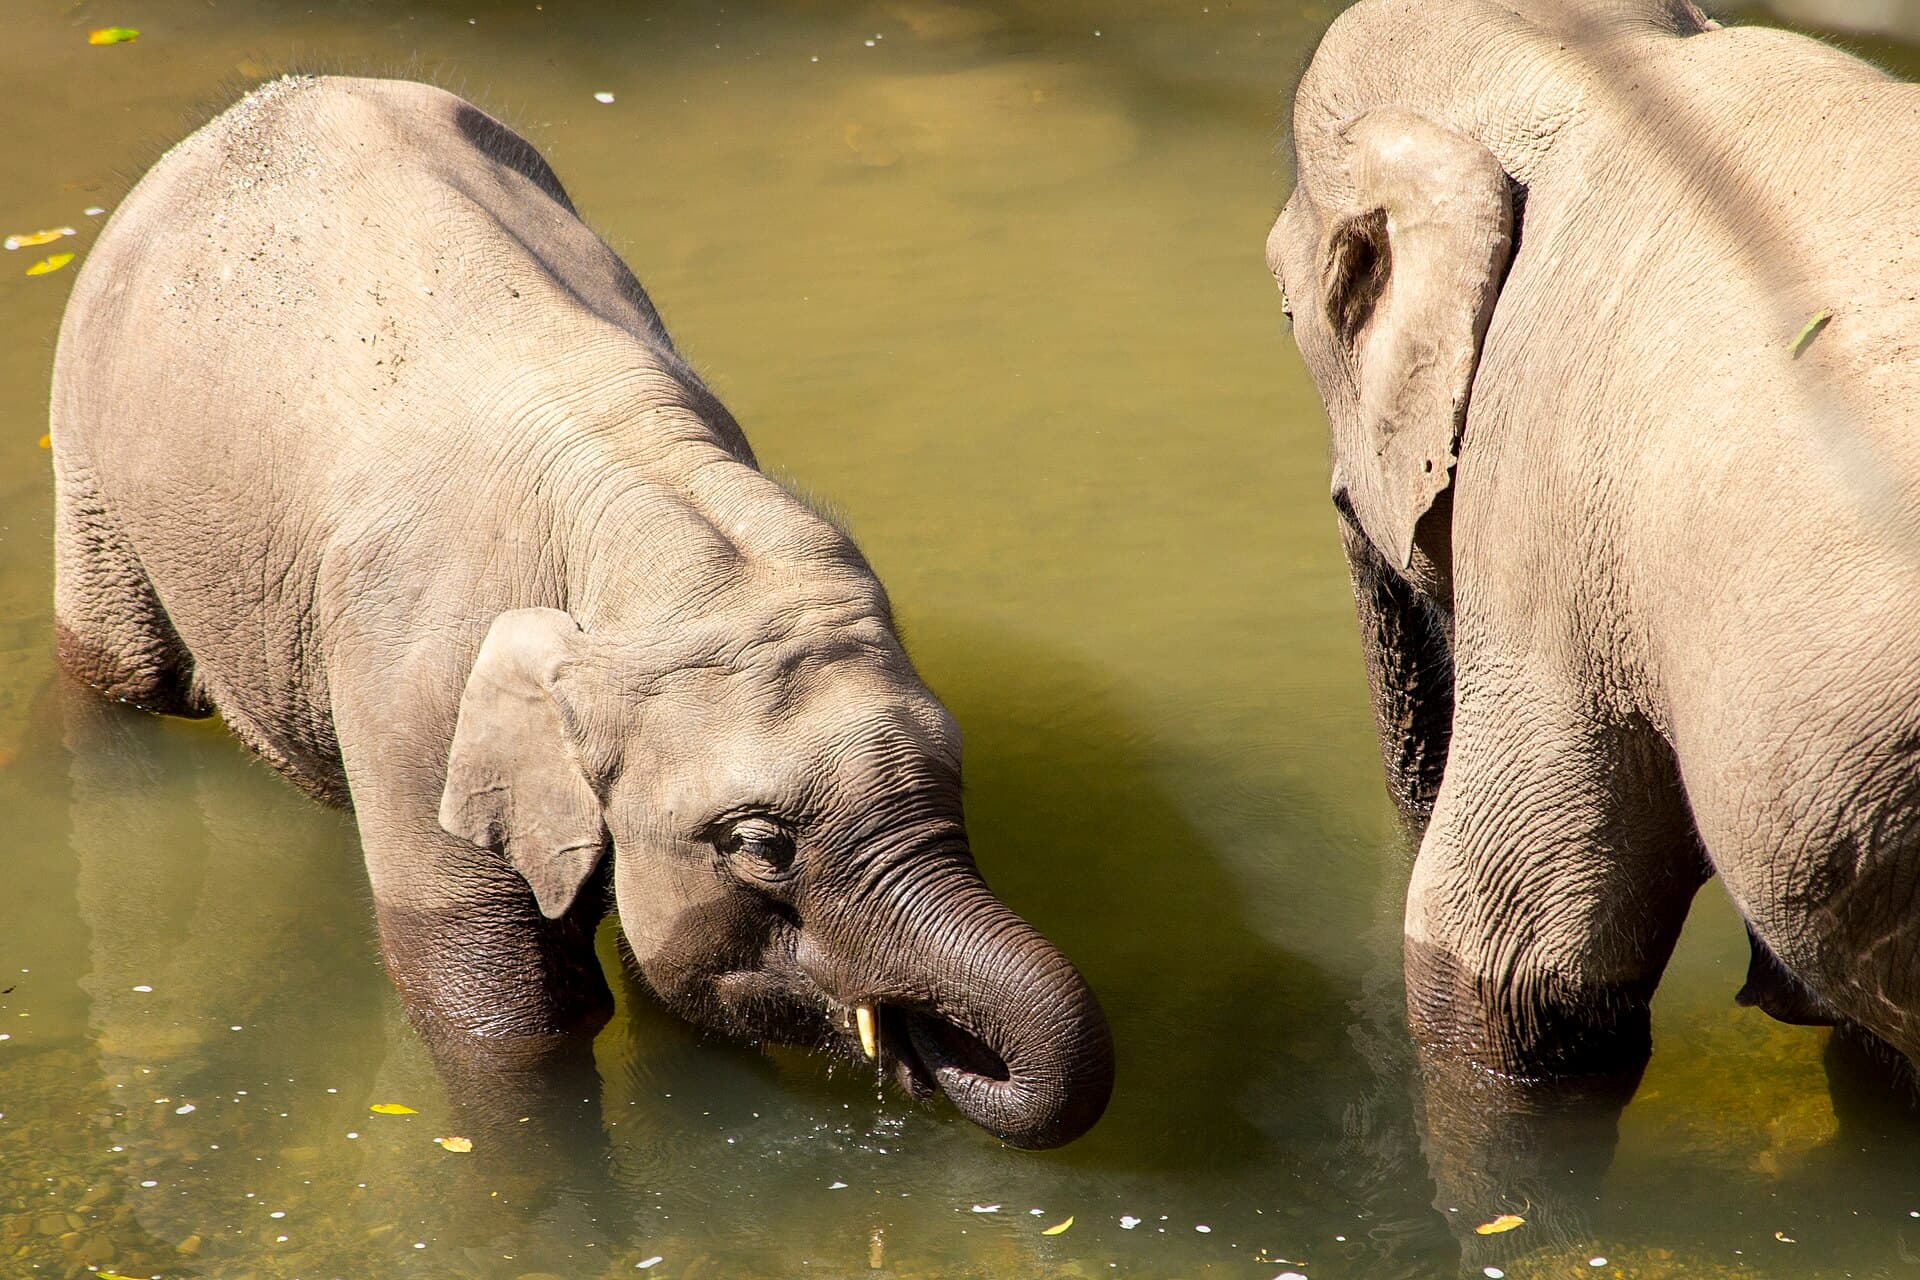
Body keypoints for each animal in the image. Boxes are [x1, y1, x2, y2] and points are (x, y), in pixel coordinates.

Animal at [48, 74, 1112, 1150]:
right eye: (760, 845)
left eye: (956, 769)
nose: (937, 1045)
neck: (640, 490)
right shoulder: (415, 695)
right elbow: (507, 1010)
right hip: (90, 457)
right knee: (118, 672)